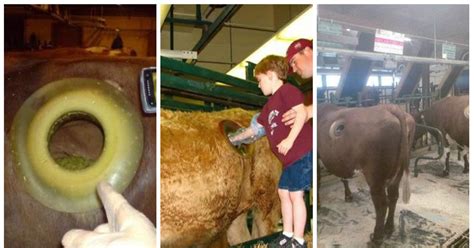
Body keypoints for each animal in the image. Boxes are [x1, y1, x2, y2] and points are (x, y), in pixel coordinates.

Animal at [318, 103, 414, 246]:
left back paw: (376, 239)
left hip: (375, 176)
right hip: (398, 172)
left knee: (382, 205)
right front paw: (348, 196)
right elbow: (343, 177)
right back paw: (389, 228)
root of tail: (389, 107)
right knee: (393, 197)